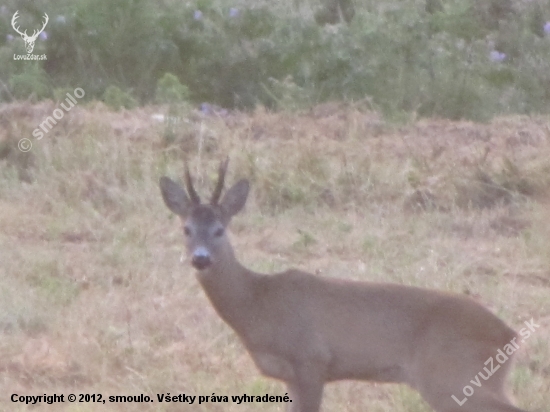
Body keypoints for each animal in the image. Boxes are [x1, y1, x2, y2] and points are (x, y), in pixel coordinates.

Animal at [160, 159, 532, 412]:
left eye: (220, 229)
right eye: (186, 229)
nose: (201, 259)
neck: (259, 303)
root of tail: (510, 336)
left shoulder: (312, 359)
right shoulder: (291, 376)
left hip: (453, 376)